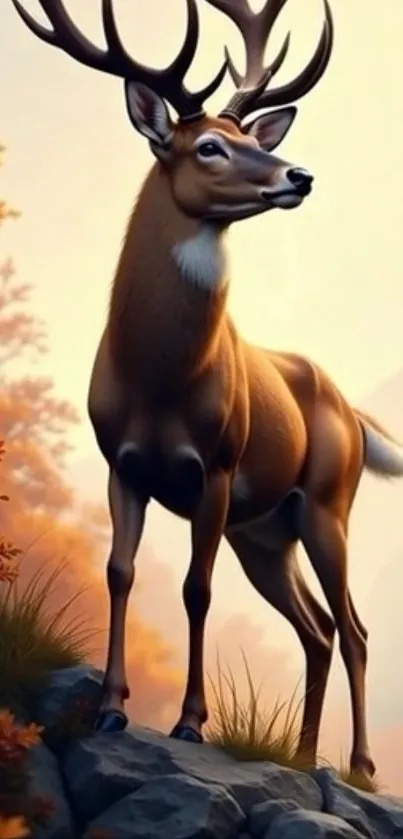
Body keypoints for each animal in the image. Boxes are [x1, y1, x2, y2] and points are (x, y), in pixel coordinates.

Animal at [12, 0, 403, 782]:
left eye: (250, 136)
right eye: (210, 148)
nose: (298, 174)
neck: (160, 382)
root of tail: (351, 411)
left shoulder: (217, 467)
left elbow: (196, 589)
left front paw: (191, 721)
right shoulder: (123, 464)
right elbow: (120, 570)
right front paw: (110, 706)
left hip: (327, 504)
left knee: (354, 627)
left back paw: (358, 766)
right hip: (267, 534)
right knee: (315, 627)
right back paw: (301, 754)